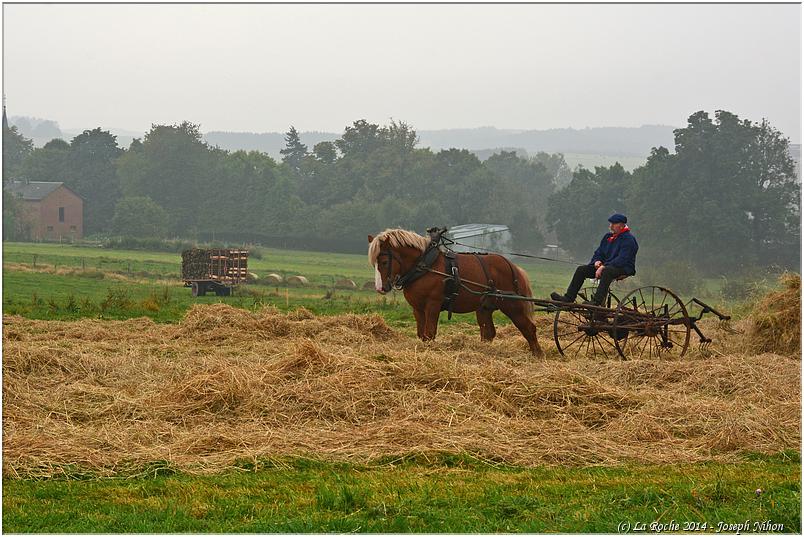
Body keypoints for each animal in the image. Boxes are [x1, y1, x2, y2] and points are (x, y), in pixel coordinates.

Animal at [368, 227, 544, 356]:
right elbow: (422, 335)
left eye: (384, 261)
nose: (380, 288)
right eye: (374, 263)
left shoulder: (433, 305)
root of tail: (513, 267)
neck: (424, 266)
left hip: (512, 305)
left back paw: (538, 355)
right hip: (485, 308)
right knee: (488, 333)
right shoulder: (417, 309)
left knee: (529, 328)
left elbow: (429, 333)